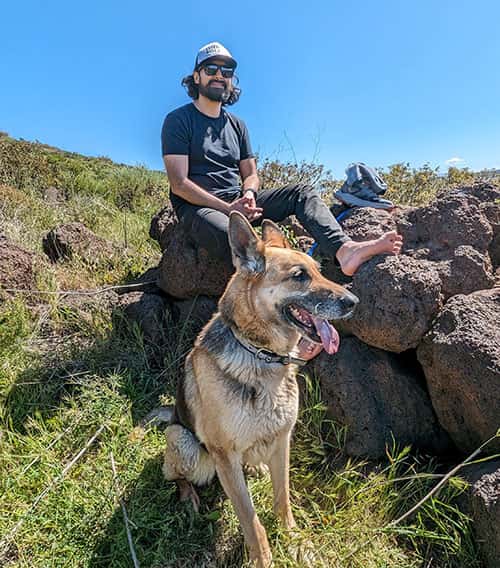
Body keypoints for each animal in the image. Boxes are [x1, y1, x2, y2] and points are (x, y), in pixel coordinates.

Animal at [162, 211, 358, 564]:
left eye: (319, 270)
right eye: (299, 276)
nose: (354, 302)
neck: (261, 355)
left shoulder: (282, 441)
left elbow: (283, 498)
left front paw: (295, 541)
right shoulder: (225, 457)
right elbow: (250, 518)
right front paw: (262, 558)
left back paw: (255, 469)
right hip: (182, 441)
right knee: (175, 475)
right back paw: (188, 496)